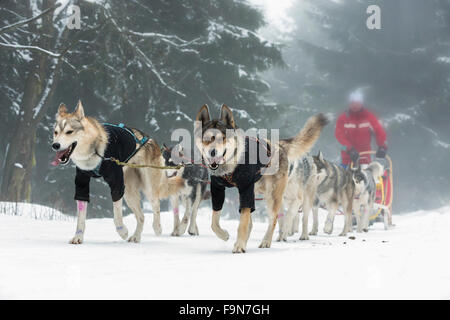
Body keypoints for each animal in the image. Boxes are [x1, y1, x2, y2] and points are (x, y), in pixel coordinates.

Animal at [52, 101, 185, 244]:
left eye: (69, 132)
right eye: (55, 132)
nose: (55, 145)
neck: (94, 151)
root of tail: (149, 139)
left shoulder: (117, 184)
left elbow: (116, 214)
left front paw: (122, 231)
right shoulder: (82, 182)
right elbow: (81, 218)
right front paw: (78, 237)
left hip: (148, 187)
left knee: (156, 205)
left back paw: (157, 228)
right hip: (129, 193)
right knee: (142, 216)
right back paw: (136, 236)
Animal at [193, 104, 326, 252]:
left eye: (223, 138)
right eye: (206, 139)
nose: (213, 152)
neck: (231, 166)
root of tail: (278, 145)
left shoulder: (246, 189)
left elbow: (242, 224)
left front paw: (239, 246)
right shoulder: (217, 189)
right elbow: (214, 222)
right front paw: (225, 235)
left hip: (272, 196)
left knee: (273, 219)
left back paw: (266, 241)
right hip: (256, 193)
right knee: (252, 220)